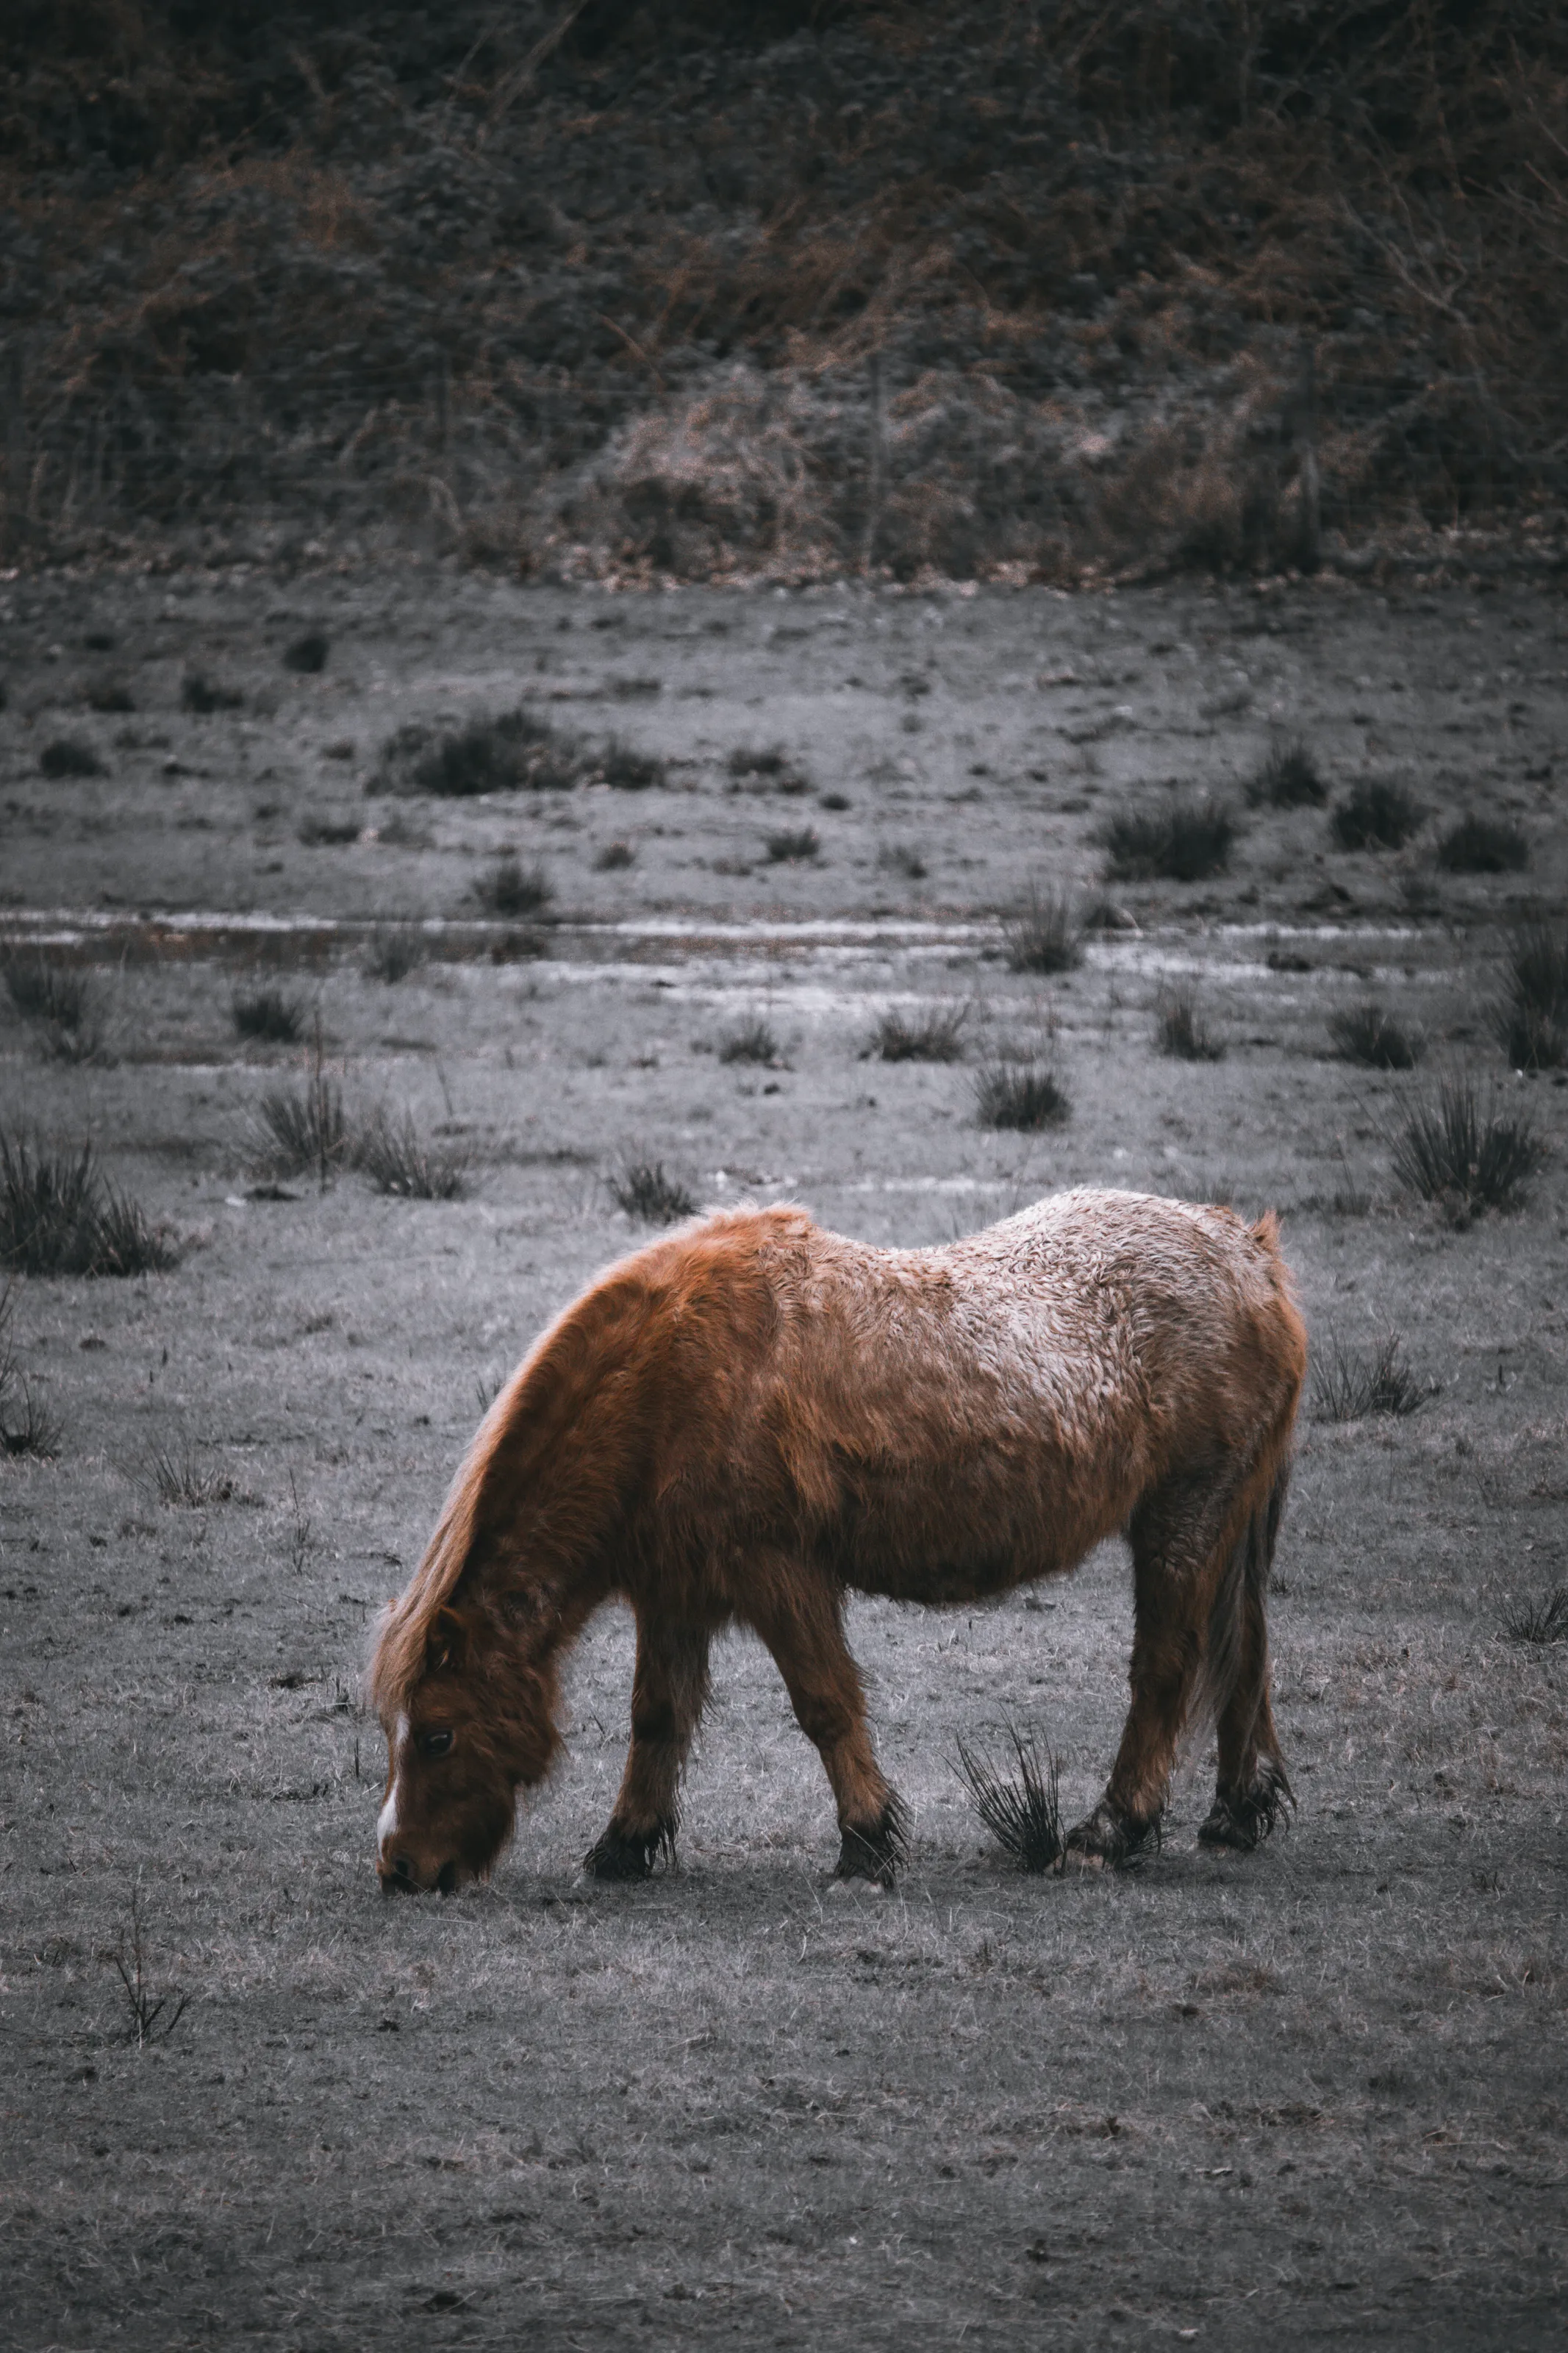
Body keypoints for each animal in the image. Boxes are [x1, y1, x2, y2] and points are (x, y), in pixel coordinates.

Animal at [369, 1188, 1306, 1894]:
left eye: (438, 1734)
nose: (400, 1866)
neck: (670, 1380)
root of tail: (1250, 1254)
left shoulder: (777, 1572)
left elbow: (824, 1704)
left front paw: (865, 1842)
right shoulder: (676, 1590)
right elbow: (657, 1716)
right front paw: (624, 1845)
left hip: (1183, 1519)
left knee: (1168, 1670)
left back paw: (1111, 1830)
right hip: (1224, 1524)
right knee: (1246, 1654)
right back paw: (1235, 1814)